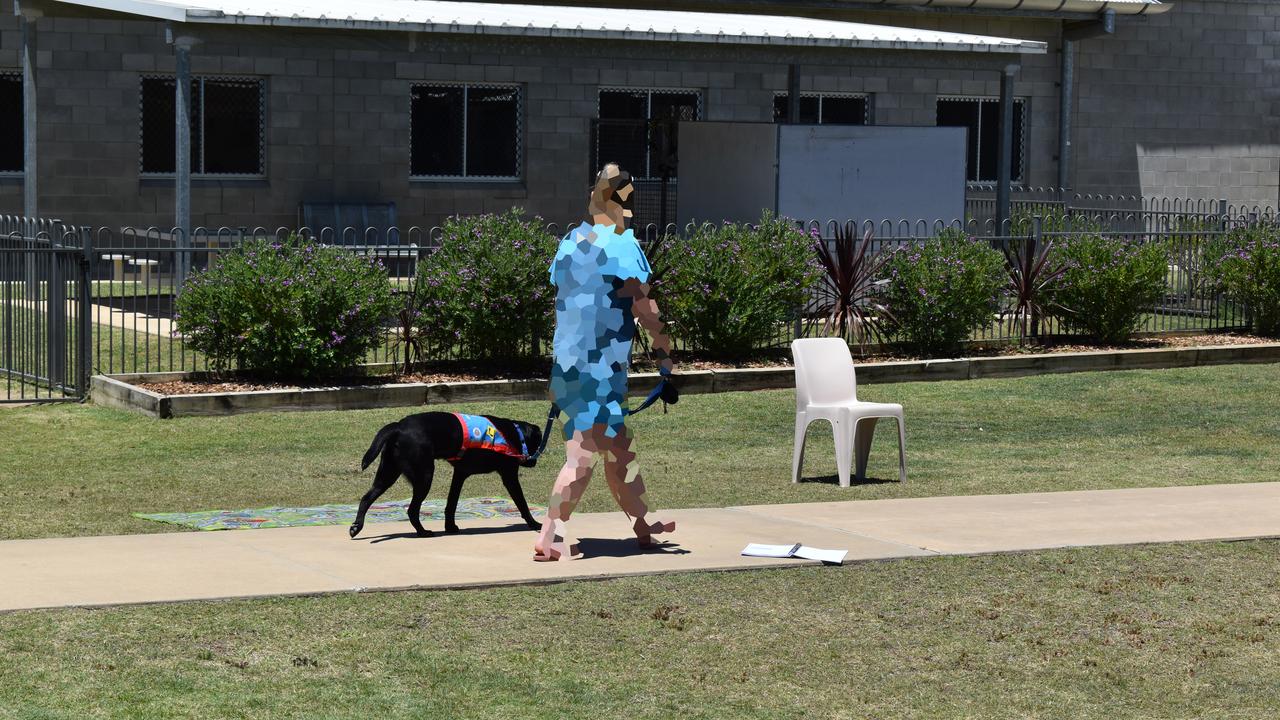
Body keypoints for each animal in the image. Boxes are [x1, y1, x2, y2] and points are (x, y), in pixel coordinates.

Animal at [350, 409, 545, 538]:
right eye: (538, 443)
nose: (534, 462)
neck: (516, 434)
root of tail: (399, 426)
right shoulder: (509, 476)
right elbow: (522, 503)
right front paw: (534, 524)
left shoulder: (460, 473)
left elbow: (451, 503)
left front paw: (450, 527)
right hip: (424, 476)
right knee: (412, 509)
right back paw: (423, 532)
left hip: (388, 474)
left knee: (366, 498)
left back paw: (356, 527)